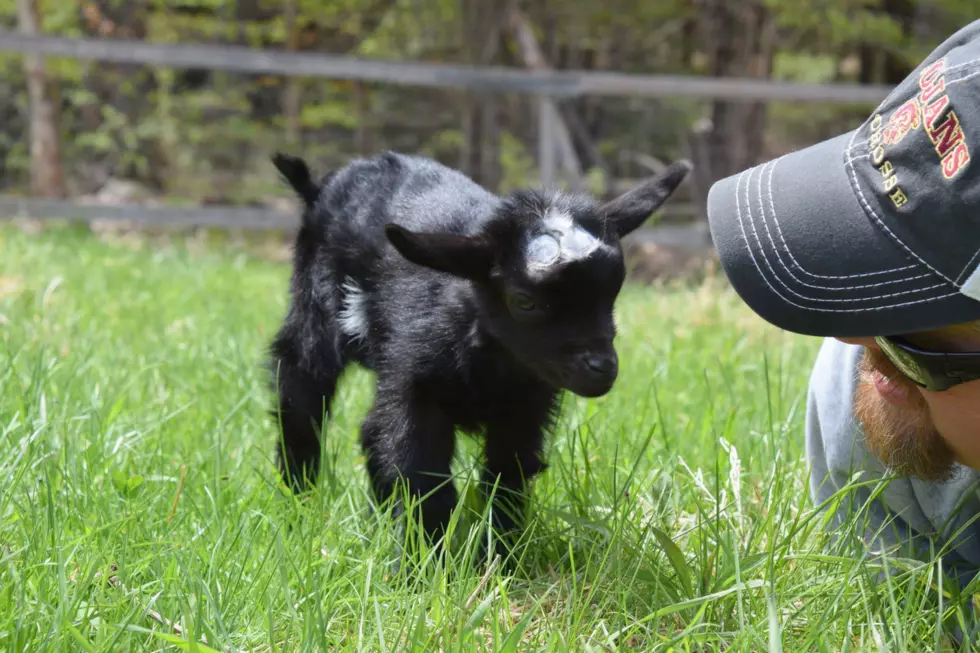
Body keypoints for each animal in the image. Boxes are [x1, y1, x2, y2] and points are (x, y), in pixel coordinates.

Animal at [270, 149, 688, 560]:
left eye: (612, 292)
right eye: (524, 301)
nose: (602, 368)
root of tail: (322, 186)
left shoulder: (526, 408)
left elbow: (507, 475)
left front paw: (500, 557)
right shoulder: (415, 388)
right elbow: (421, 474)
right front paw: (425, 564)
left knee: (370, 430)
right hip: (314, 314)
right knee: (301, 392)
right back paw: (297, 507)